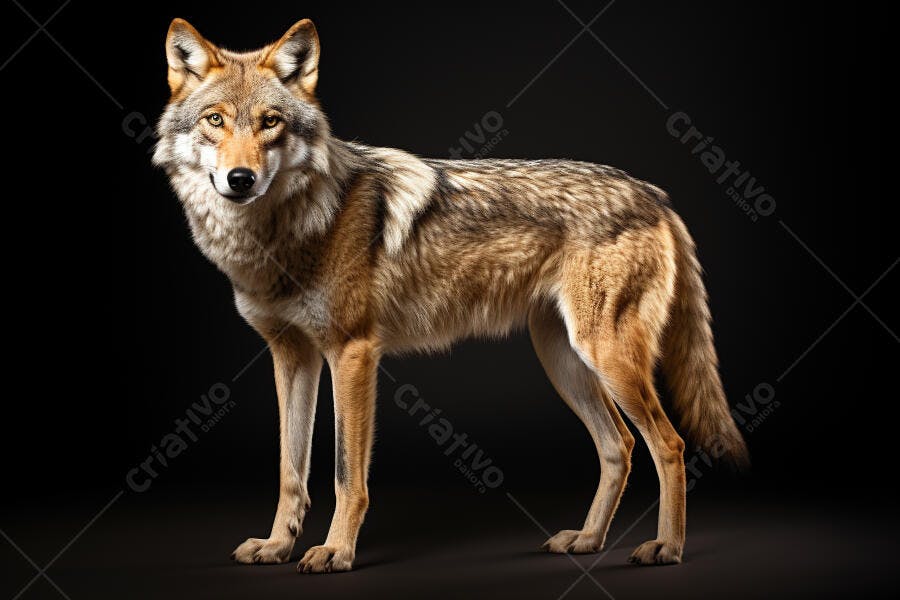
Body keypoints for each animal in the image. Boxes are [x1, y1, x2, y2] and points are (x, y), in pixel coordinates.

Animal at [153, 18, 749, 573]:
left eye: (270, 122)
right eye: (215, 121)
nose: (240, 179)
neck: (280, 237)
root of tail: (653, 193)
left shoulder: (352, 354)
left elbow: (347, 474)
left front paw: (336, 552)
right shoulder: (292, 357)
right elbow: (289, 470)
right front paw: (277, 546)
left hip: (604, 356)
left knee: (669, 445)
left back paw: (667, 548)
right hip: (565, 360)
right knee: (618, 446)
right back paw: (587, 540)